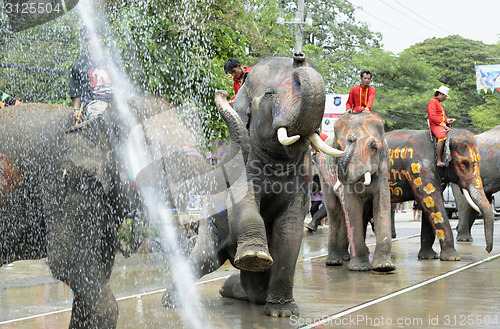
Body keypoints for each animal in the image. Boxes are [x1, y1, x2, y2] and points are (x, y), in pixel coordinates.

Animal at [156, 53, 344, 316]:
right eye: (270, 94)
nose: (299, 56)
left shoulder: (304, 176)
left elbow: (290, 228)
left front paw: (282, 312)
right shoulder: (242, 163)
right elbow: (243, 203)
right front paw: (255, 257)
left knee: (248, 284)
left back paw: (232, 289)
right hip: (210, 225)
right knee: (205, 259)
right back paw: (172, 302)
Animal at [314, 111, 396, 270]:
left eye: (373, 146)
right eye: (338, 147)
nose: (352, 137)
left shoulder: (383, 166)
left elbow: (382, 202)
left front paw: (384, 267)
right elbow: (352, 207)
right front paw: (359, 268)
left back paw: (345, 257)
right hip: (323, 177)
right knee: (335, 211)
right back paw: (334, 261)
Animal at [384, 128, 494, 258]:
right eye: (464, 163)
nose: (487, 250)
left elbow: (429, 205)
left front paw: (429, 257)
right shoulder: (420, 170)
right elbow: (433, 202)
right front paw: (453, 257)